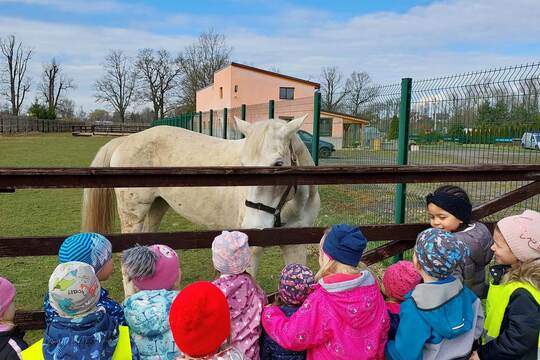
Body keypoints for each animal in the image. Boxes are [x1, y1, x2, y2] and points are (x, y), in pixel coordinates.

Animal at [81, 116, 320, 274]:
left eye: (278, 164)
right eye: (243, 165)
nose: (253, 226)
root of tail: (124, 141)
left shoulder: (295, 245)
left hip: (157, 207)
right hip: (133, 215)